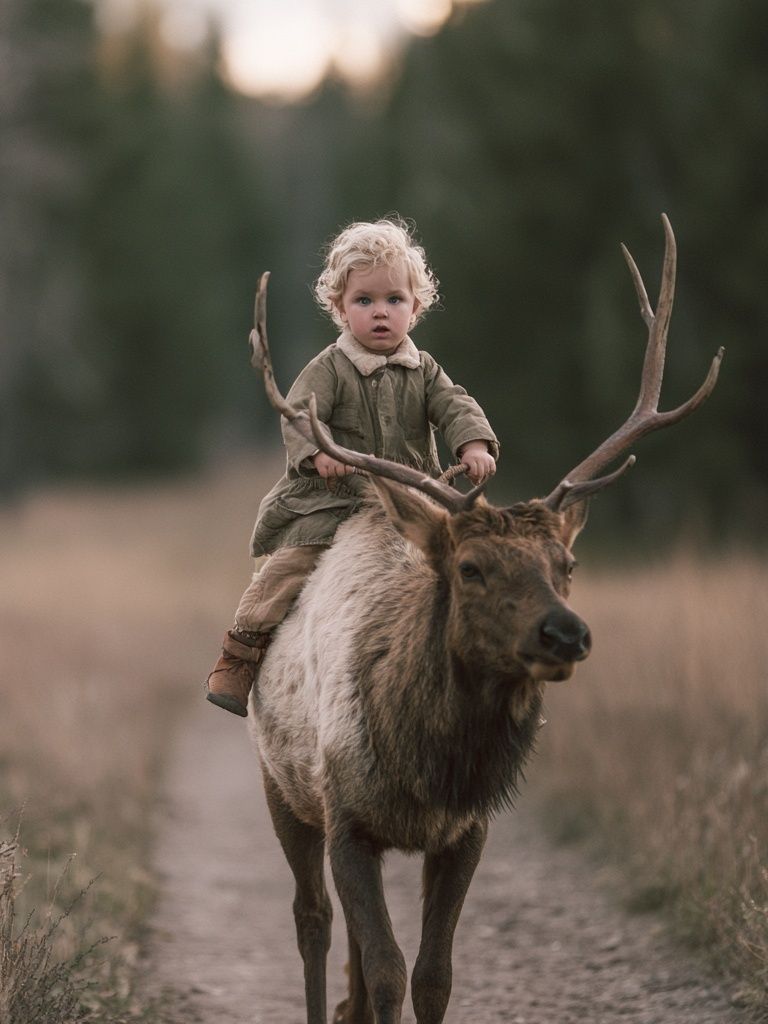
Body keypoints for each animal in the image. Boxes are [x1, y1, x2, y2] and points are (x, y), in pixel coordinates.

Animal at [246, 215, 722, 1024]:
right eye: (470, 568)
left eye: (567, 564)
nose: (567, 633)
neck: (430, 767)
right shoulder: (345, 814)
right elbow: (386, 970)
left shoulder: (467, 830)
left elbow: (433, 974)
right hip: (280, 783)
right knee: (312, 920)